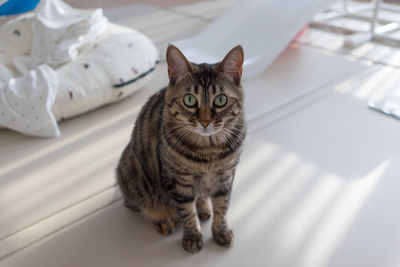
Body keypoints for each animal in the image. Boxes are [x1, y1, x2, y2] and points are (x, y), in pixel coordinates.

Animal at [117, 45, 245, 254]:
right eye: (189, 100)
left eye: (220, 100)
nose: (205, 122)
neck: (209, 151)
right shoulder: (178, 181)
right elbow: (187, 212)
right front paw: (193, 237)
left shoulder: (225, 176)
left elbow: (222, 206)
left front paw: (221, 231)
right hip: (134, 177)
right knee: (142, 206)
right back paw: (163, 220)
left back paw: (204, 208)